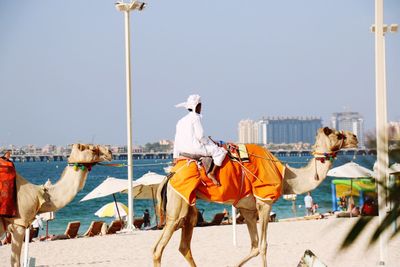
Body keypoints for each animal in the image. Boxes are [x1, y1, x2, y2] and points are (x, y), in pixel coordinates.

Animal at [153, 128, 360, 267]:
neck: (287, 176)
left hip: (188, 205)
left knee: (184, 245)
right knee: (158, 248)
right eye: (338, 135)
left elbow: (253, 246)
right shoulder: (264, 203)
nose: (355, 137)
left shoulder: (247, 209)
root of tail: (169, 176)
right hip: (177, 203)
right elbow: (263, 246)